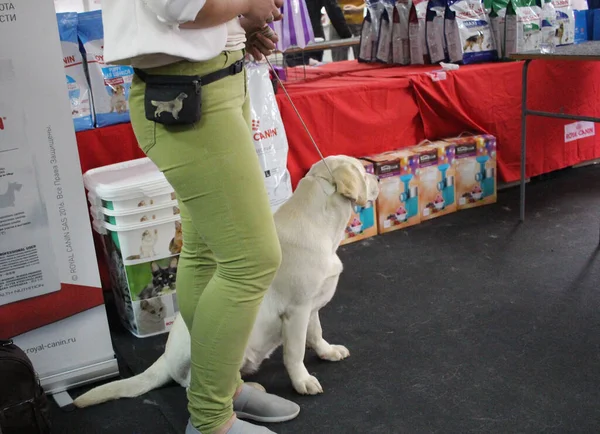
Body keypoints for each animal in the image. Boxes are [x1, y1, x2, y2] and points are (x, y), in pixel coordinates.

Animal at [74, 158, 380, 408]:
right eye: (363, 172)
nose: (377, 177)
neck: (321, 225)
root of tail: (165, 360)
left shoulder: (311, 307)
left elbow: (316, 334)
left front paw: (328, 351)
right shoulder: (296, 311)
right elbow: (295, 353)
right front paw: (302, 381)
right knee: (192, 386)